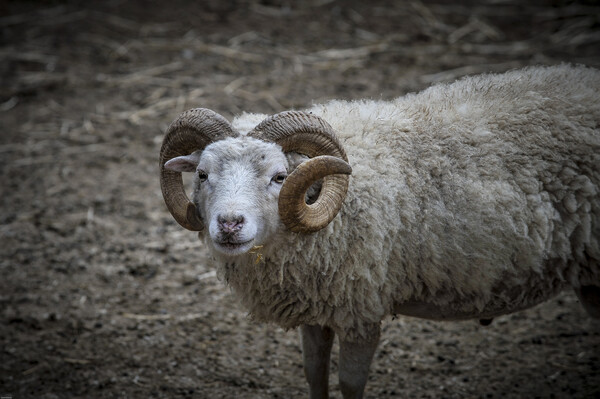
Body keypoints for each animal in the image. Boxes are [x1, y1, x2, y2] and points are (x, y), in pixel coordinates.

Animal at [159, 65, 600, 399]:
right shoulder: (315, 306)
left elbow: (350, 384)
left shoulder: (361, 308)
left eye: (280, 177)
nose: (229, 224)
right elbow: (314, 374)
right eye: (202, 174)